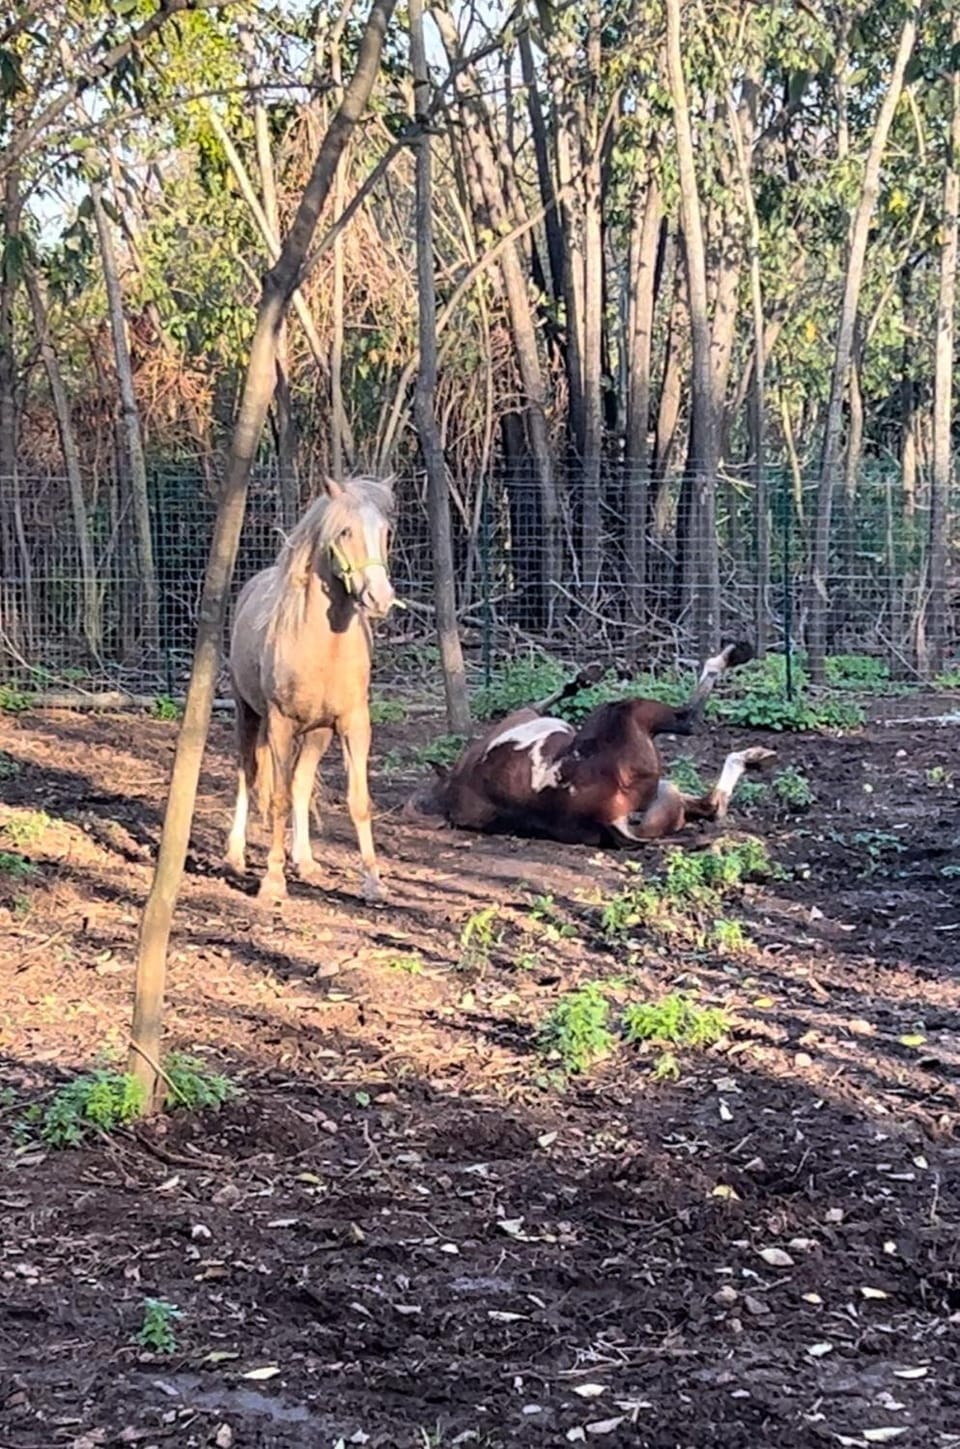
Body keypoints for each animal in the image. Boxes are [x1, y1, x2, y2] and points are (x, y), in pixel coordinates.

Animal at [226, 475, 397, 904]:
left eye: (386, 531)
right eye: (345, 531)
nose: (380, 598)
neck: (324, 647)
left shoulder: (354, 724)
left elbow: (357, 800)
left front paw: (373, 883)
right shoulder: (280, 724)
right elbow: (277, 798)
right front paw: (272, 882)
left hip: (317, 733)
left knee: (301, 782)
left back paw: (304, 860)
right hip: (247, 714)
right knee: (248, 774)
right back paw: (235, 856)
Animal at [406, 642, 775, 846]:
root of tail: (607, 818)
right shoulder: (525, 714)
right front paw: (585, 677)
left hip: (667, 799)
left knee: (712, 804)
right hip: (630, 713)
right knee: (688, 718)